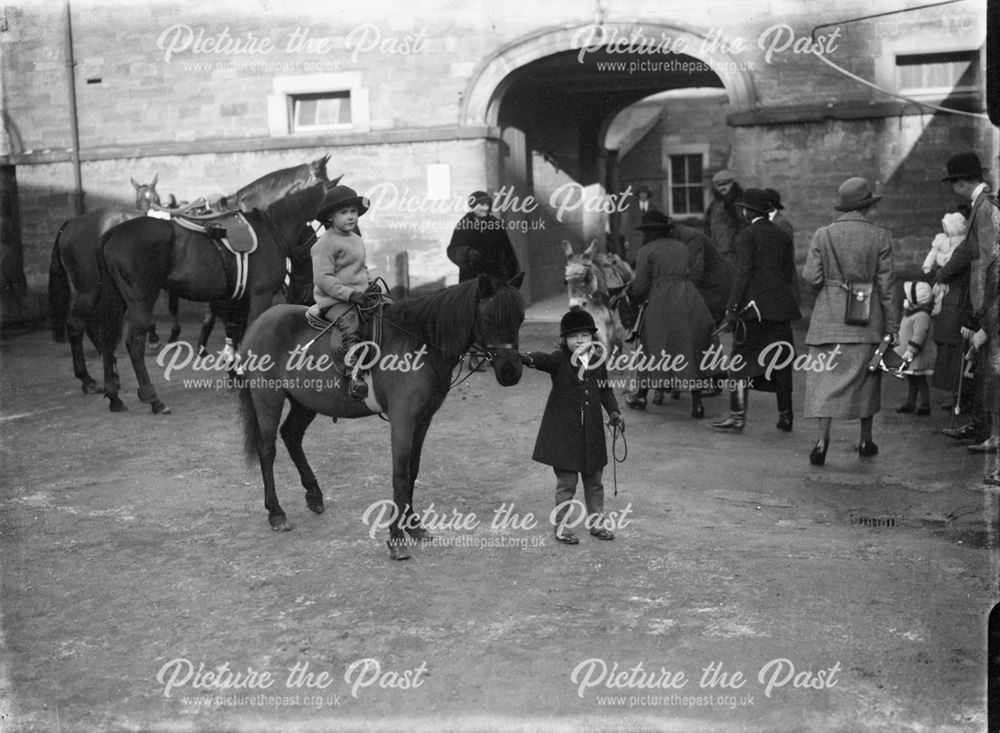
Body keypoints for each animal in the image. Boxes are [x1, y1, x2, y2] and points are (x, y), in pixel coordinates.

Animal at [97, 181, 334, 414]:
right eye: (313, 247)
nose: (302, 293)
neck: (271, 230)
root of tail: (112, 233)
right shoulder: (260, 295)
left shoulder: (237, 299)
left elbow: (236, 334)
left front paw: (237, 375)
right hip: (141, 301)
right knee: (135, 344)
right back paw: (153, 399)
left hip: (118, 301)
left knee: (108, 341)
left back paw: (114, 396)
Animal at [239, 274, 528, 560]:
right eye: (489, 319)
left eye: (520, 318)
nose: (511, 372)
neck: (421, 342)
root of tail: (259, 322)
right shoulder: (403, 420)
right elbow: (399, 474)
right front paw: (396, 537)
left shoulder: (423, 421)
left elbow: (412, 470)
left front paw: (414, 526)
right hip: (268, 397)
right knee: (267, 449)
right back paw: (276, 513)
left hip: (306, 402)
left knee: (291, 435)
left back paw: (313, 494)